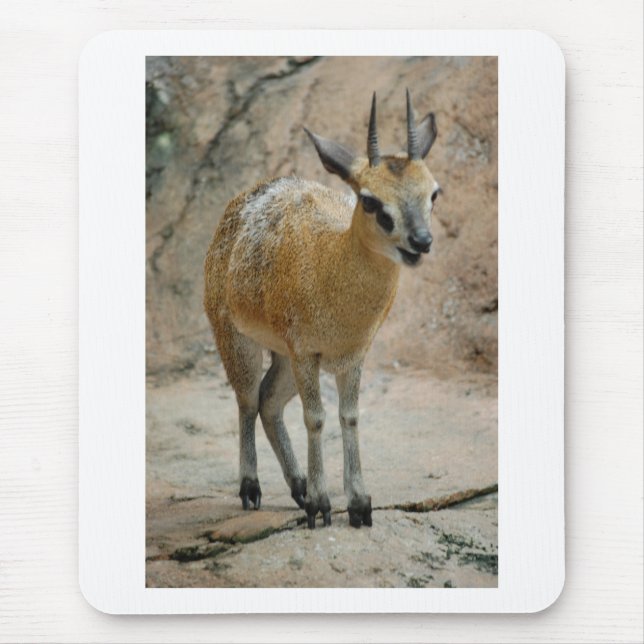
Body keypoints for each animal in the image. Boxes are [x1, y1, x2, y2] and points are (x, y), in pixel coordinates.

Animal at [204, 90, 440, 528]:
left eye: (434, 192)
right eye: (370, 200)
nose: (421, 241)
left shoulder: (352, 355)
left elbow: (349, 415)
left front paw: (359, 503)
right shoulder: (306, 352)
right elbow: (316, 417)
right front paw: (322, 504)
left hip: (281, 356)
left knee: (268, 400)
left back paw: (297, 487)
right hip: (237, 339)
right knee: (247, 399)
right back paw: (252, 489)